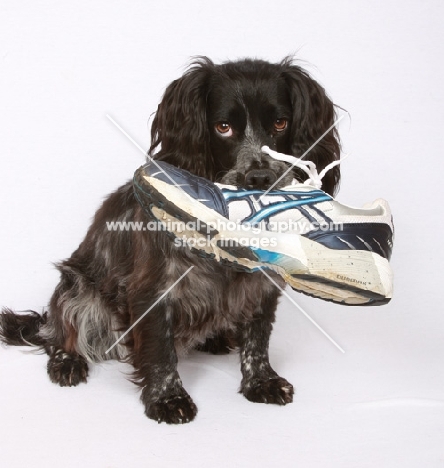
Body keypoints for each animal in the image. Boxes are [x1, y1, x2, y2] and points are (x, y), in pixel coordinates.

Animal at [0, 55, 340, 424]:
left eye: (280, 123)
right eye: (223, 127)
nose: (260, 176)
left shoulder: (260, 285)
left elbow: (257, 339)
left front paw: (260, 381)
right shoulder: (152, 288)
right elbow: (160, 349)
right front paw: (167, 397)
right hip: (75, 286)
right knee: (57, 333)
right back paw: (67, 361)